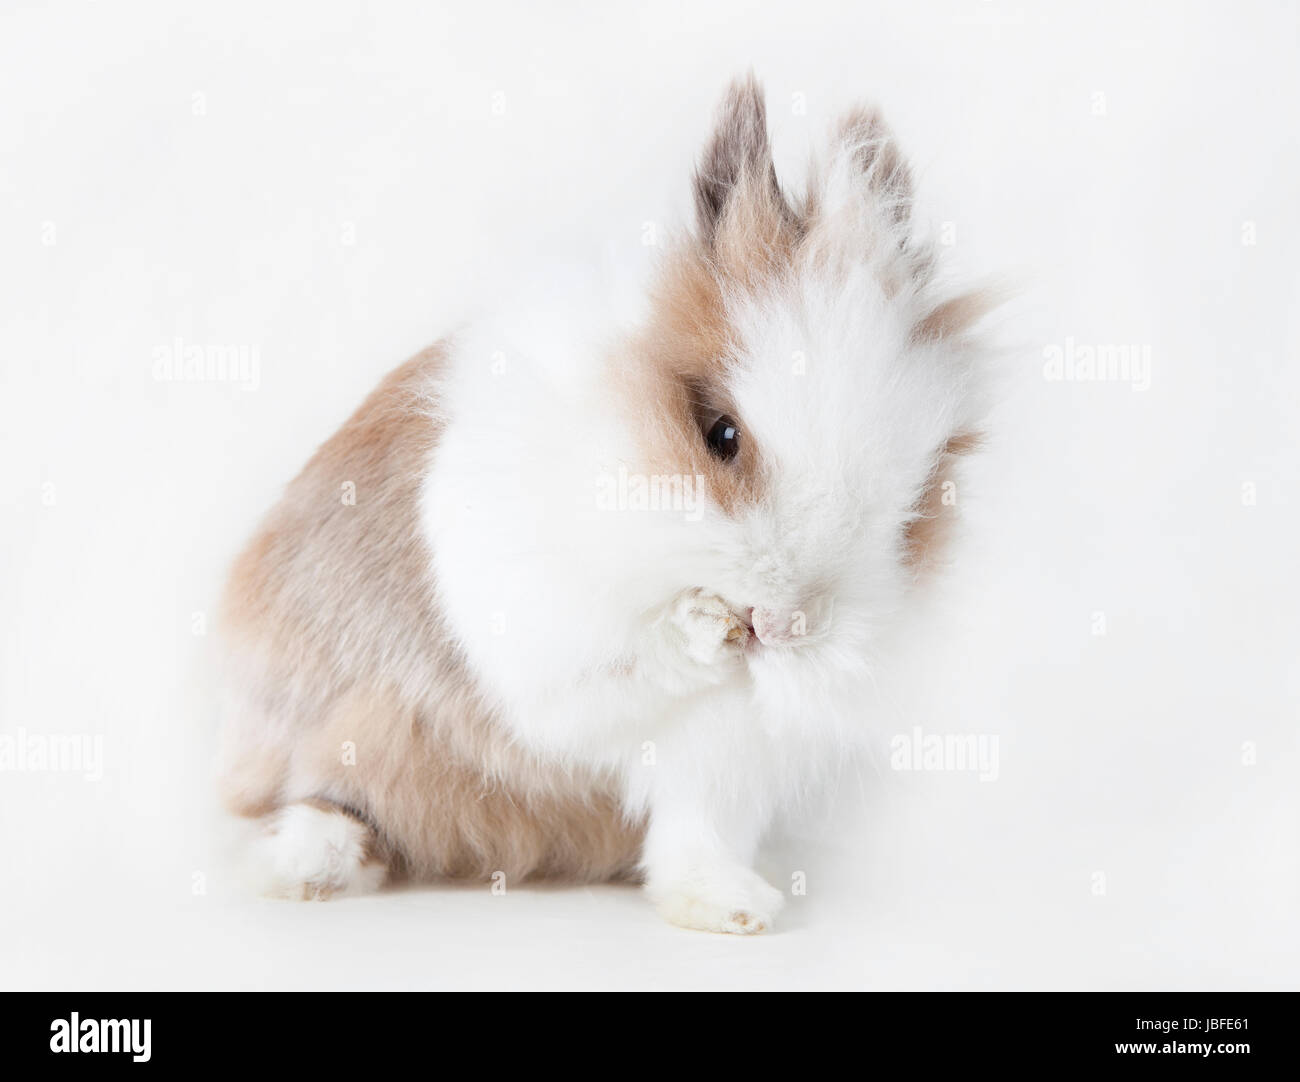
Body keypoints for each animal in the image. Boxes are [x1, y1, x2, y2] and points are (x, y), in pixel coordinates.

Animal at [220, 74, 993, 936]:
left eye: (917, 501)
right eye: (721, 432)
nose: (787, 623)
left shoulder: (727, 757)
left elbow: (698, 826)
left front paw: (735, 907)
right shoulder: (539, 634)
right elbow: (621, 669)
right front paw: (703, 631)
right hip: (338, 734)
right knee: (333, 802)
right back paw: (304, 868)